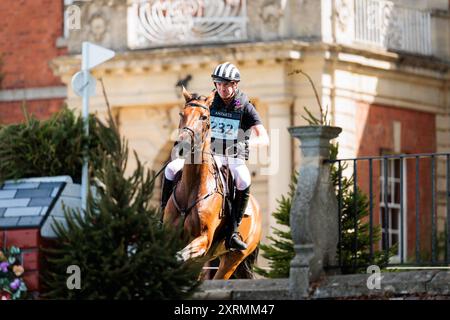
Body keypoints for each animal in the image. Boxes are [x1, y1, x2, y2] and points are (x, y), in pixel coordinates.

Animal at [163, 86, 262, 278]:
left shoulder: (203, 239)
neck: (192, 185)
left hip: (232, 259)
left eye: (204, 117)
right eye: (181, 114)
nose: (181, 147)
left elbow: (178, 257)